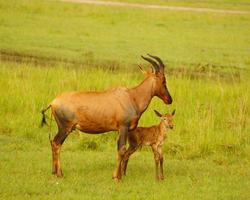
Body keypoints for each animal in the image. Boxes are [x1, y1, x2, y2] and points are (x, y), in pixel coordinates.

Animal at [41, 54, 172, 180]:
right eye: (163, 80)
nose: (169, 100)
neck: (131, 96)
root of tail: (53, 102)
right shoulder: (123, 127)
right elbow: (122, 150)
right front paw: (116, 178)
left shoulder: (121, 130)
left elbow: (121, 150)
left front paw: (119, 175)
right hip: (65, 128)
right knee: (56, 143)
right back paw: (59, 174)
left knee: (53, 142)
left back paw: (55, 172)